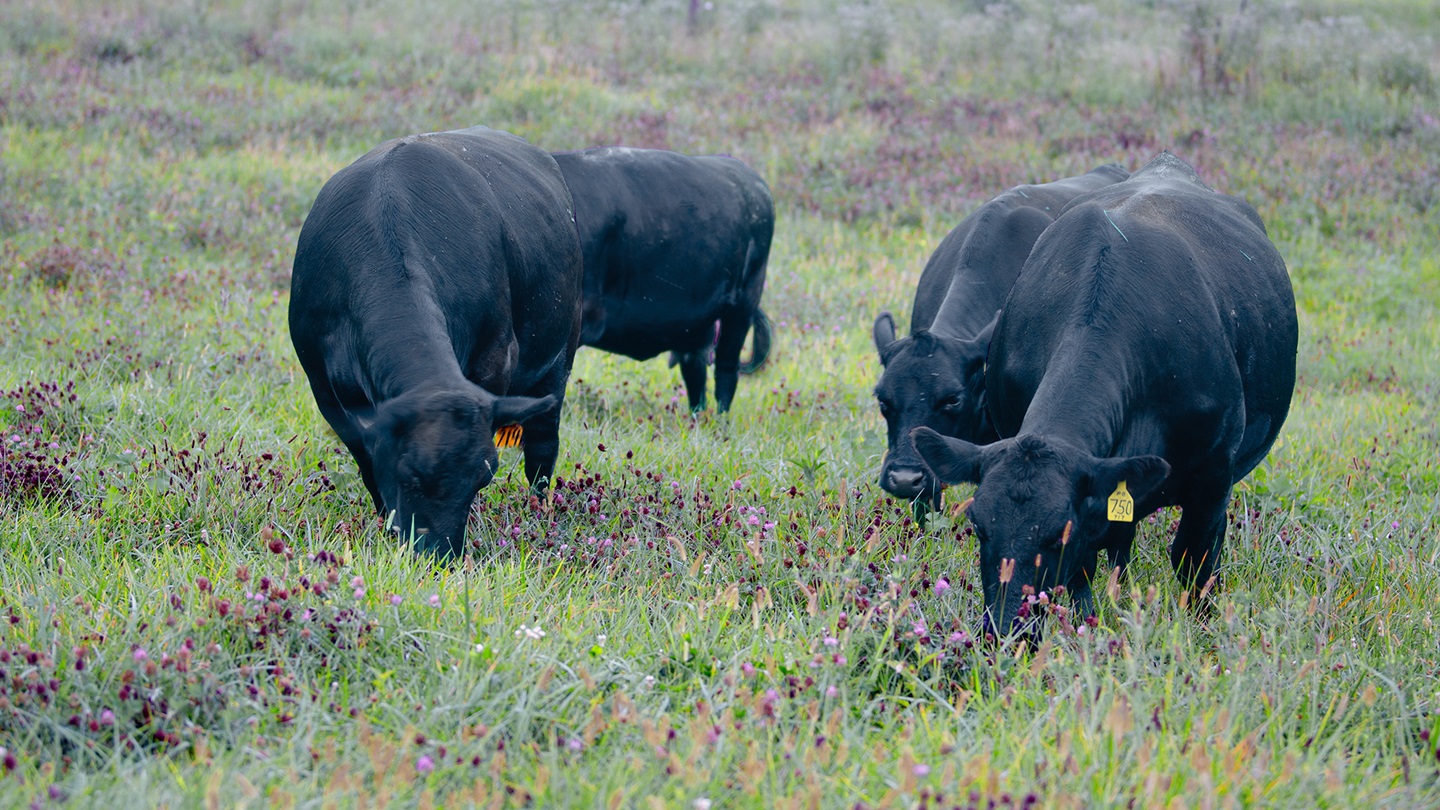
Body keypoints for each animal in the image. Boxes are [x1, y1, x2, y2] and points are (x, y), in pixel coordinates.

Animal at [289, 126, 584, 560]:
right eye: (410, 473)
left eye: (483, 476)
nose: (439, 554)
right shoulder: (323, 386)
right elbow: (366, 458)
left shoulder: (495, 361)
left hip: (559, 358)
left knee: (542, 450)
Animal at [912, 152, 1298, 639]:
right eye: (979, 526)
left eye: (1058, 533)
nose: (1005, 628)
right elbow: (1084, 580)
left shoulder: (1214, 478)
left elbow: (1194, 563)